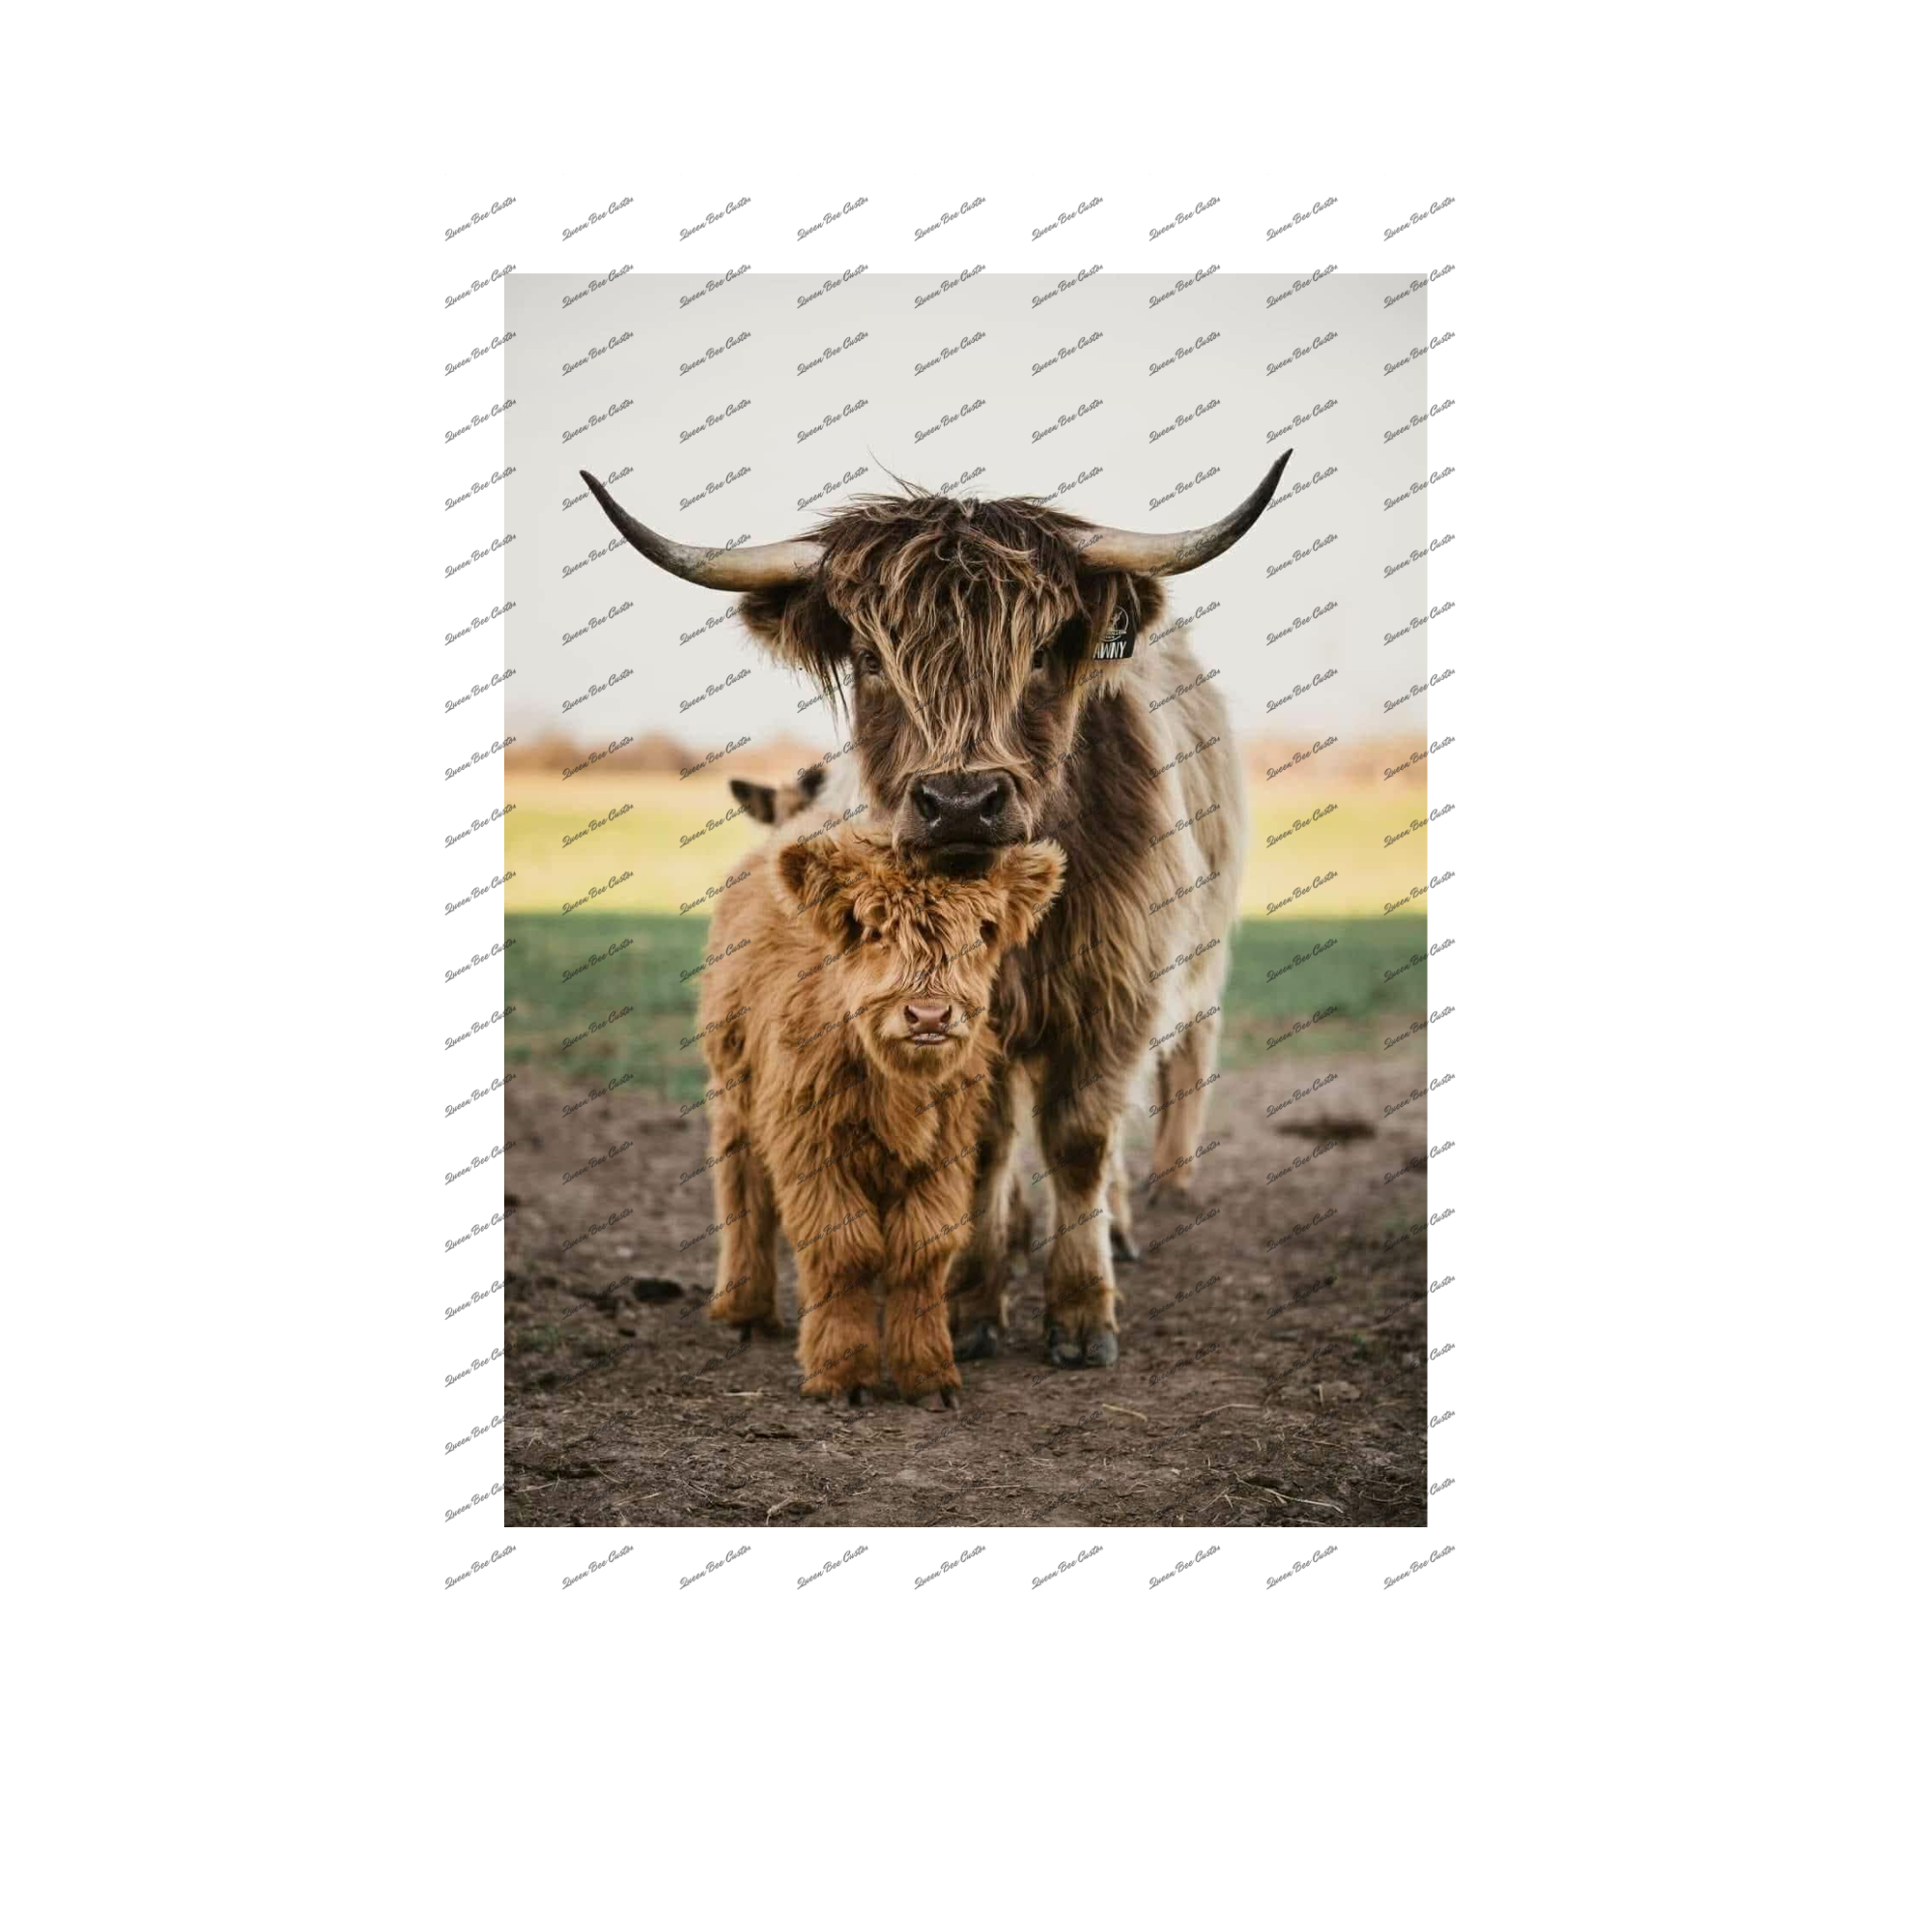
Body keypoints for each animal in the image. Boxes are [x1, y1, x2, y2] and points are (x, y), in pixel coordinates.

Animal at [698, 822, 1065, 1405]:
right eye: (873, 930)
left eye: (981, 931)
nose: (930, 1016)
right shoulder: (812, 1147)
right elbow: (844, 1250)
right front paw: (842, 1374)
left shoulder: (945, 1152)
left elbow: (922, 1251)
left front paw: (929, 1374)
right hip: (735, 1097)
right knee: (743, 1194)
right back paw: (744, 1312)